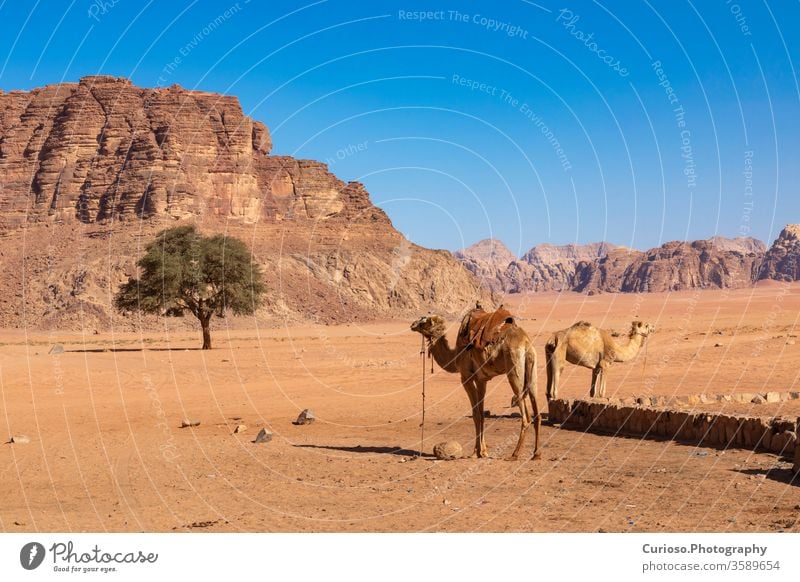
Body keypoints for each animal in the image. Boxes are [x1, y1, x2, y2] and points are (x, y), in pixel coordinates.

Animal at [412, 308, 536, 464]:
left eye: (423, 321)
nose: (412, 325)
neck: (455, 355)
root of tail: (526, 343)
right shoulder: (482, 380)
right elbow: (481, 413)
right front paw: (483, 451)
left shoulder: (466, 377)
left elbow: (475, 413)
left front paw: (476, 453)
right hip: (531, 366)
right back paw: (536, 454)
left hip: (513, 368)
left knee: (525, 416)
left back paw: (514, 454)